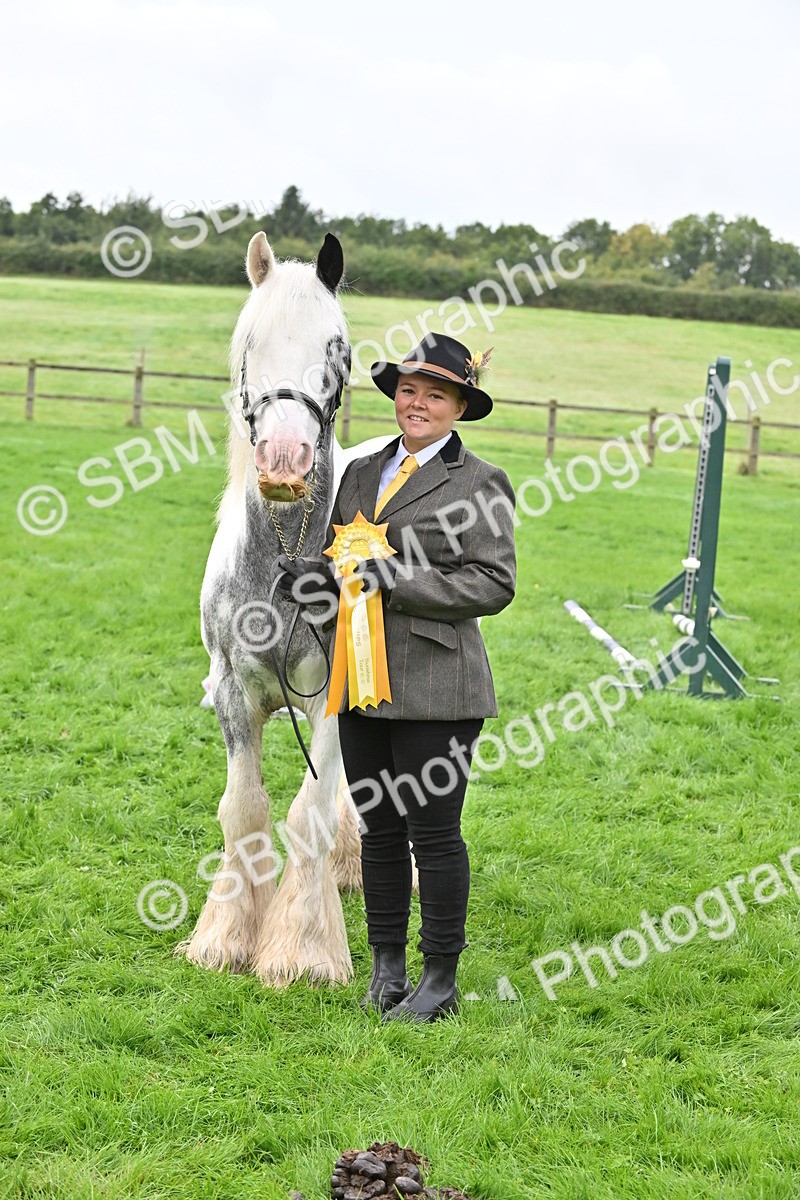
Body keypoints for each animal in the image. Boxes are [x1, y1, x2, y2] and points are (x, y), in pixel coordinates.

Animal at [177, 231, 392, 986]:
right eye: (250, 343)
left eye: (338, 346)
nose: (283, 462)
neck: (283, 564)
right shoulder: (234, 696)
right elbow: (244, 810)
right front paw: (224, 937)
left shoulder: (334, 696)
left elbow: (309, 813)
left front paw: (303, 949)